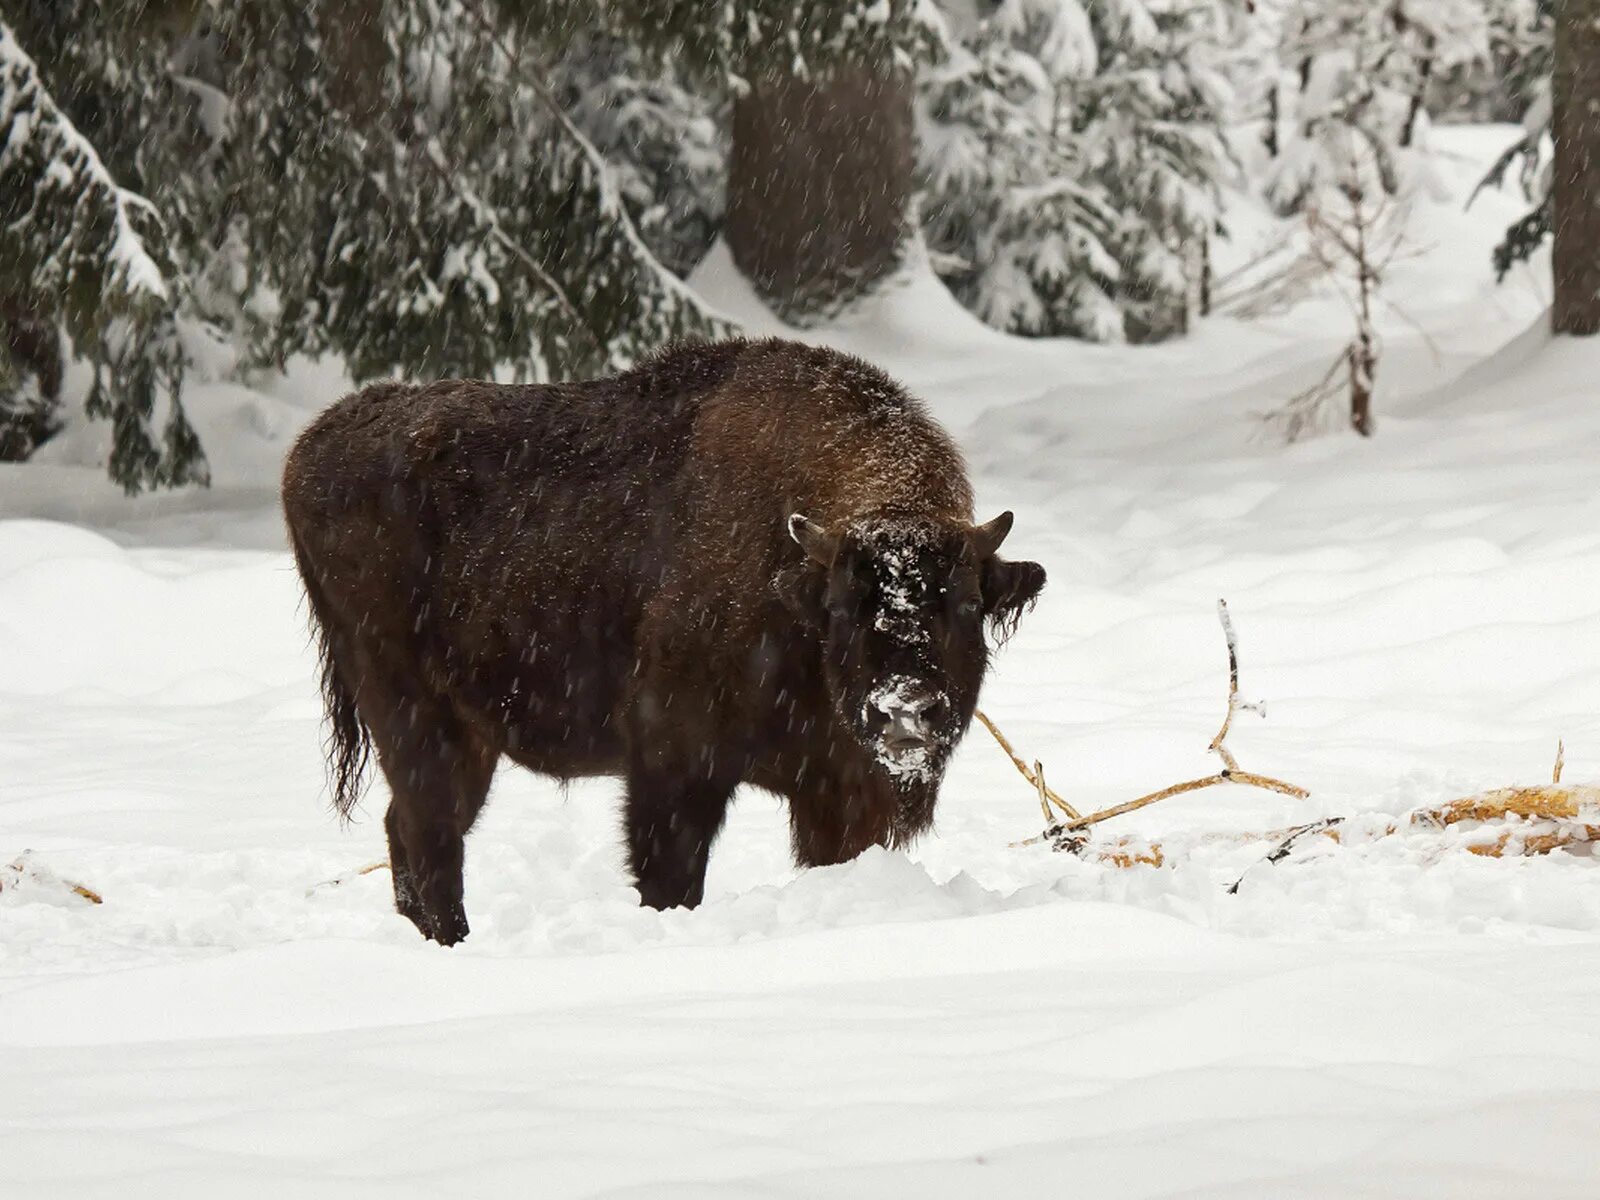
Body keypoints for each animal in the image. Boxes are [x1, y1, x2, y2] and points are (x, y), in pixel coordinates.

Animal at [281, 334, 1043, 947]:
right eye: (842, 608)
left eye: (967, 603)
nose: (904, 709)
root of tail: (309, 450)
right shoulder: (674, 769)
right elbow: (671, 880)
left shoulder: (836, 796)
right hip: (412, 717)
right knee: (431, 837)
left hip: (464, 737)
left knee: (408, 832)